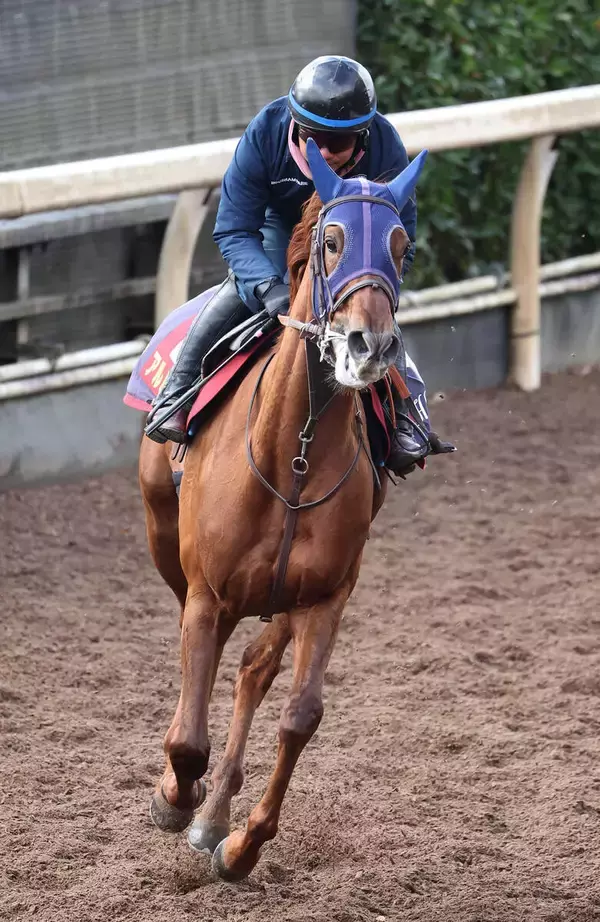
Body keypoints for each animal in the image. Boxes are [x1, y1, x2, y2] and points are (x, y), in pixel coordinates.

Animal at [137, 139, 428, 881]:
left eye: (402, 245)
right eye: (330, 241)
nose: (369, 345)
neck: (291, 459)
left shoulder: (327, 593)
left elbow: (300, 715)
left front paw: (239, 844)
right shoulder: (206, 593)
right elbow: (188, 736)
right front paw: (174, 797)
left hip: (285, 600)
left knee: (254, 671)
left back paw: (217, 815)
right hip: (163, 534)